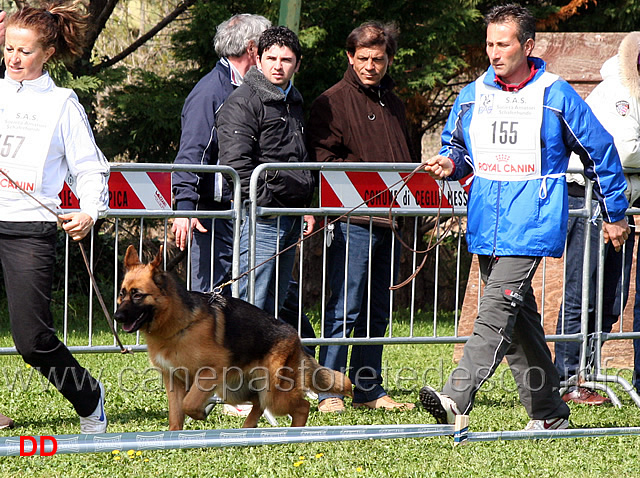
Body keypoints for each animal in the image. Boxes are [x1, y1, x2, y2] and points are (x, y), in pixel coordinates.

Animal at [115, 246, 356, 430]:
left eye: (138, 295)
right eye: (122, 293)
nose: (117, 317)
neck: (179, 325)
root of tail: (296, 338)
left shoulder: (209, 372)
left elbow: (188, 404)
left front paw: (199, 414)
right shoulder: (173, 380)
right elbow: (176, 415)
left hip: (271, 393)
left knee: (301, 407)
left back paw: (293, 434)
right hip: (235, 390)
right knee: (258, 404)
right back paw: (248, 428)